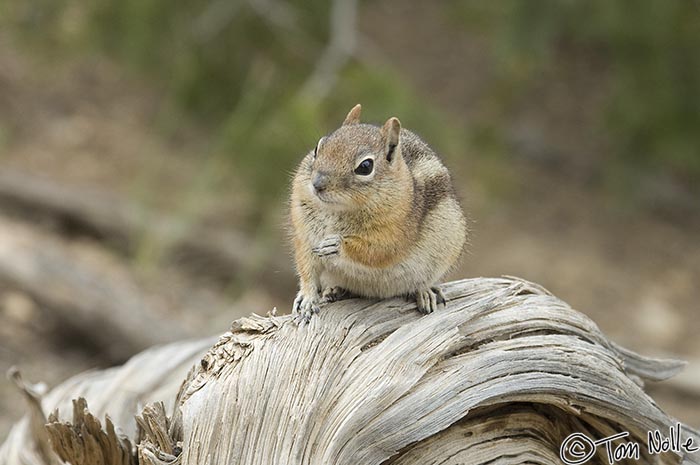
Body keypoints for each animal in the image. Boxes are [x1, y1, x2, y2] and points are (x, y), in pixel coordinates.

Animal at [288, 105, 468, 322]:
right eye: (318, 148)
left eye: (365, 166)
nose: (317, 183)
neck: (337, 210)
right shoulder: (304, 235)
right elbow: (307, 269)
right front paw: (307, 298)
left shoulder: (396, 234)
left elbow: (377, 252)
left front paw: (337, 244)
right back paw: (335, 290)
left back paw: (425, 292)